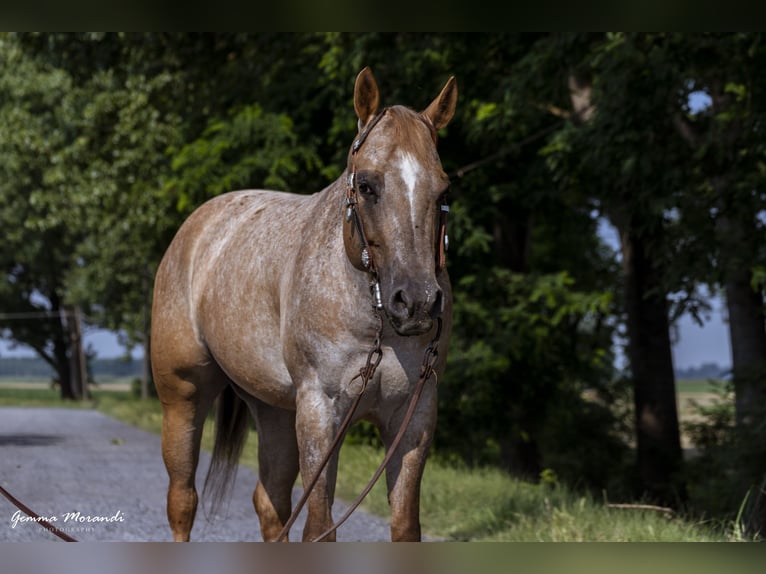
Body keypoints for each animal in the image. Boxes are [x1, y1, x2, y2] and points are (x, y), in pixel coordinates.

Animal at [151, 67, 457, 542]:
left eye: (443, 190)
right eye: (366, 185)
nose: (418, 302)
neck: (375, 326)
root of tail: (197, 226)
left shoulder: (415, 416)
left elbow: (405, 526)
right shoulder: (320, 412)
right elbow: (319, 527)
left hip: (275, 412)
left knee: (269, 504)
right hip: (183, 396)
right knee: (182, 500)